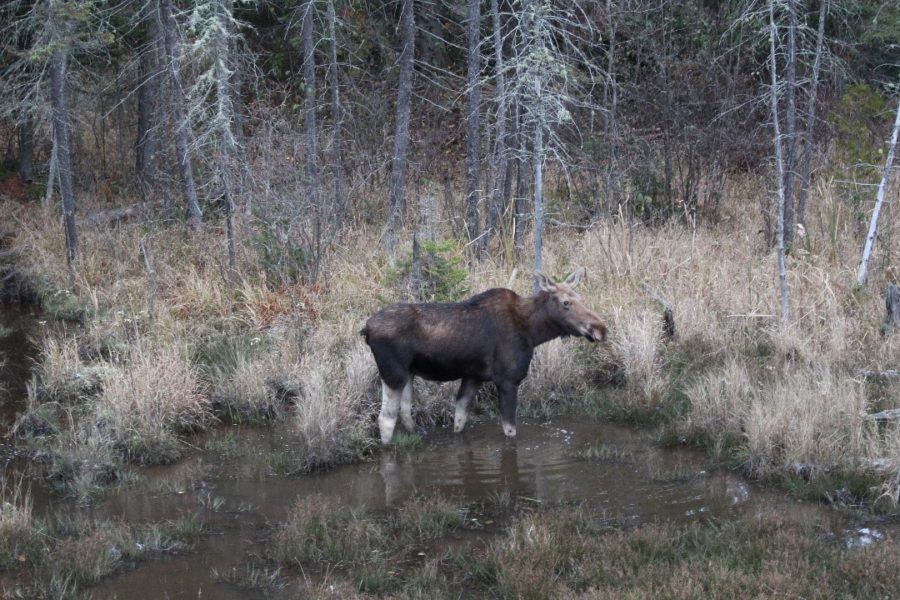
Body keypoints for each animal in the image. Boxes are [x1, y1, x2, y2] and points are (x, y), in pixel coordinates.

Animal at [362, 270, 608, 442]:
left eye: (581, 297)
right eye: (566, 303)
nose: (600, 328)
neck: (533, 332)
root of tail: (366, 329)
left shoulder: (473, 377)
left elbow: (460, 419)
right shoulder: (508, 380)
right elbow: (510, 431)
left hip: (408, 374)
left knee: (405, 412)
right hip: (392, 373)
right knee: (386, 419)